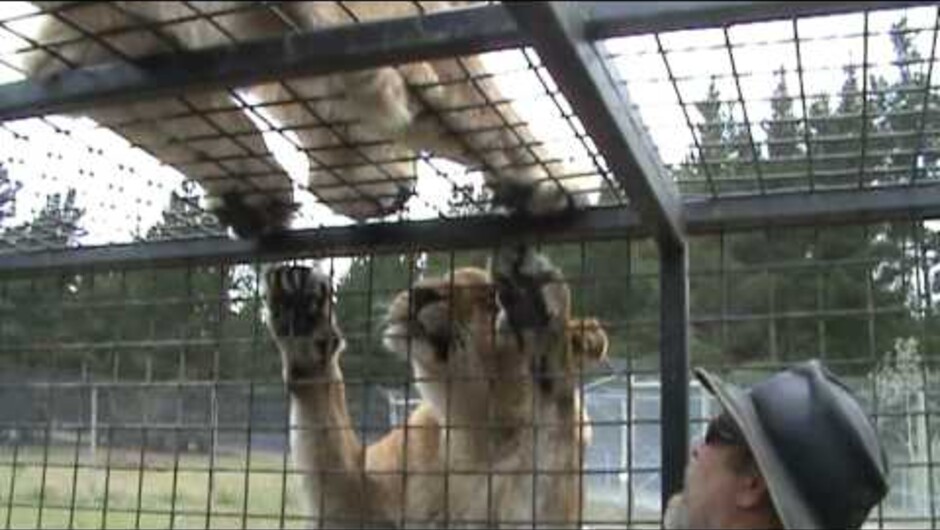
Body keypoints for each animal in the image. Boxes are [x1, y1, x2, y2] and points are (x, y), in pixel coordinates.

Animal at [22, 0, 584, 235]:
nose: (401, 196)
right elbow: (461, 77)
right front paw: (551, 175)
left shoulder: (91, 36)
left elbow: (190, 120)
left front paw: (253, 193)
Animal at [262, 243, 608, 524]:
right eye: (448, 274)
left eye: (491, 300)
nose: (421, 292)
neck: (471, 431)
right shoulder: (360, 503)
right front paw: (303, 317)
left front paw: (538, 306)